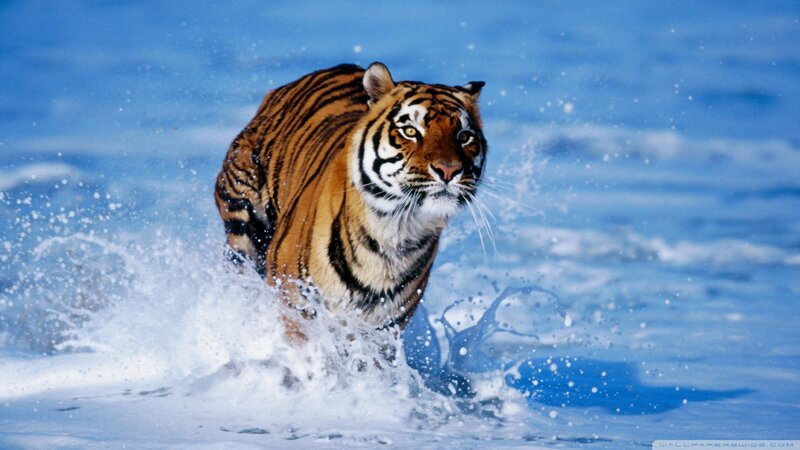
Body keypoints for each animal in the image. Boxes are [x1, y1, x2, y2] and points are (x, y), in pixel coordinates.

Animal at [214, 62, 486, 331]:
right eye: (410, 131)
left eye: (464, 136)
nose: (449, 170)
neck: (395, 233)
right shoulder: (295, 304)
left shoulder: (383, 328)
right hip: (243, 224)